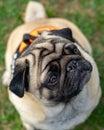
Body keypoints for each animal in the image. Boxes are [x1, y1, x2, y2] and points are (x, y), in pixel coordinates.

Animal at [2, 1, 101, 130]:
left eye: (74, 50)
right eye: (53, 79)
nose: (72, 65)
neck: (68, 106)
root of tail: (38, 19)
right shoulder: (28, 122)